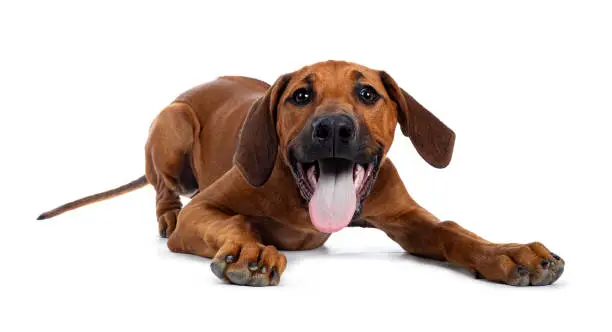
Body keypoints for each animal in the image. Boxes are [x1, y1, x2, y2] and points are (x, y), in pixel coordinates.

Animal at [38, 61, 564, 286]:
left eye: (368, 94)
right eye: (301, 96)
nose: (333, 129)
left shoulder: (408, 218)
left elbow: (452, 230)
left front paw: (508, 253)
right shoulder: (203, 209)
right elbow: (235, 220)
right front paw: (249, 250)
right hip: (174, 122)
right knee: (163, 190)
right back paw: (167, 215)